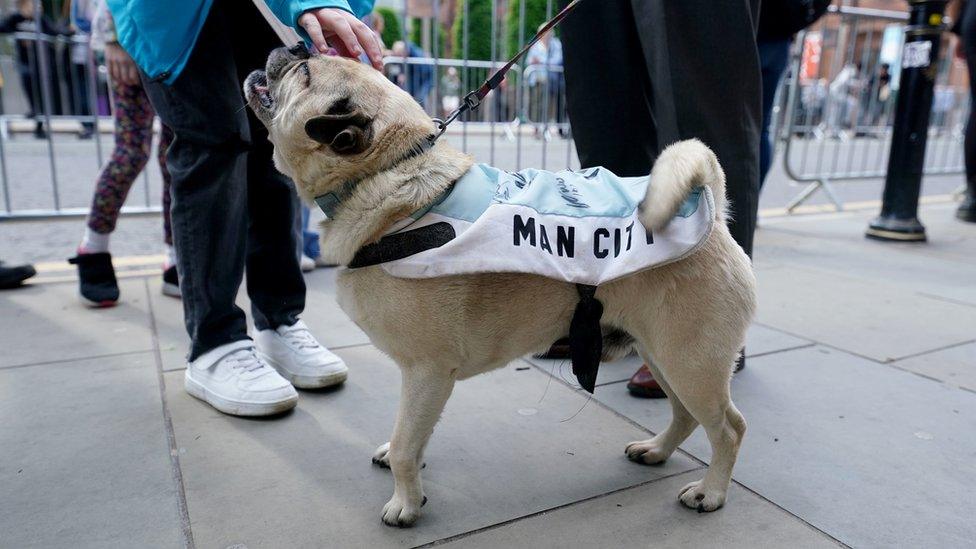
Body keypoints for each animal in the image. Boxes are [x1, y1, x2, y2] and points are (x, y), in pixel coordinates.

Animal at [244, 47, 756, 528]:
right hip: (661, 354)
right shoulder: (427, 383)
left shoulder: (427, 370)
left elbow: (409, 442)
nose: (292, 45)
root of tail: (711, 206)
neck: (388, 171)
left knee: (728, 429)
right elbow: (415, 433)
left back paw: (711, 492)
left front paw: (405, 503)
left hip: (689, 361)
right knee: (685, 415)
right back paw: (657, 450)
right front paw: (408, 471)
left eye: (305, 73)